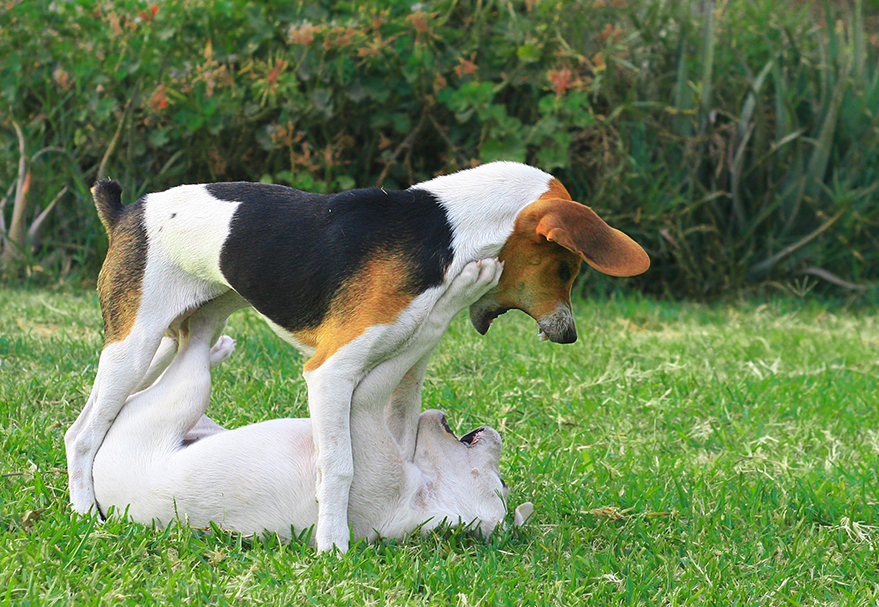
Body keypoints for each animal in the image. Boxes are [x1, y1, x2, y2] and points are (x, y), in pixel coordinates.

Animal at [93, 258, 532, 544]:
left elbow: (424, 334)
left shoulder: (366, 415)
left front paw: (465, 286)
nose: (494, 433)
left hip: (183, 396)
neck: (422, 494)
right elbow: (414, 356)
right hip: (196, 413)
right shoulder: (390, 427)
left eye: (502, 483)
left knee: (188, 350)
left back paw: (207, 329)